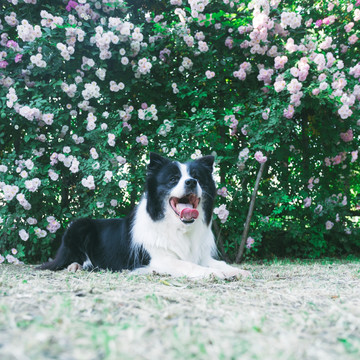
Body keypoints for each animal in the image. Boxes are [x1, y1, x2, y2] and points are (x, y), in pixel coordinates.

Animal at [38, 153, 249, 280]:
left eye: (197, 177)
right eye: (173, 179)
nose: (191, 182)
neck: (179, 226)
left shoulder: (200, 255)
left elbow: (217, 263)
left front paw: (237, 270)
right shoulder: (159, 259)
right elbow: (188, 266)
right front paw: (214, 273)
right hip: (78, 225)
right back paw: (75, 266)